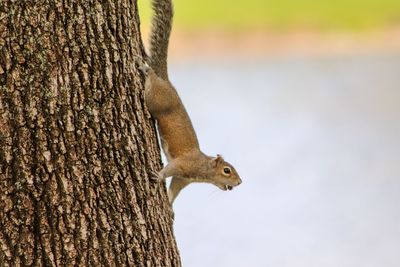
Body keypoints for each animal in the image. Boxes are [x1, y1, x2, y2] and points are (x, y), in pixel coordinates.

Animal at [138, 0, 242, 205]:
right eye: (227, 170)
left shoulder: (181, 179)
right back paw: (145, 68)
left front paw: (169, 206)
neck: (202, 169)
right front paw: (158, 176)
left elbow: (174, 190)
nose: (240, 182)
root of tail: (167, 82)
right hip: (156, 100)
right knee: (152, 81)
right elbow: (169, 169)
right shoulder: (182, 165)